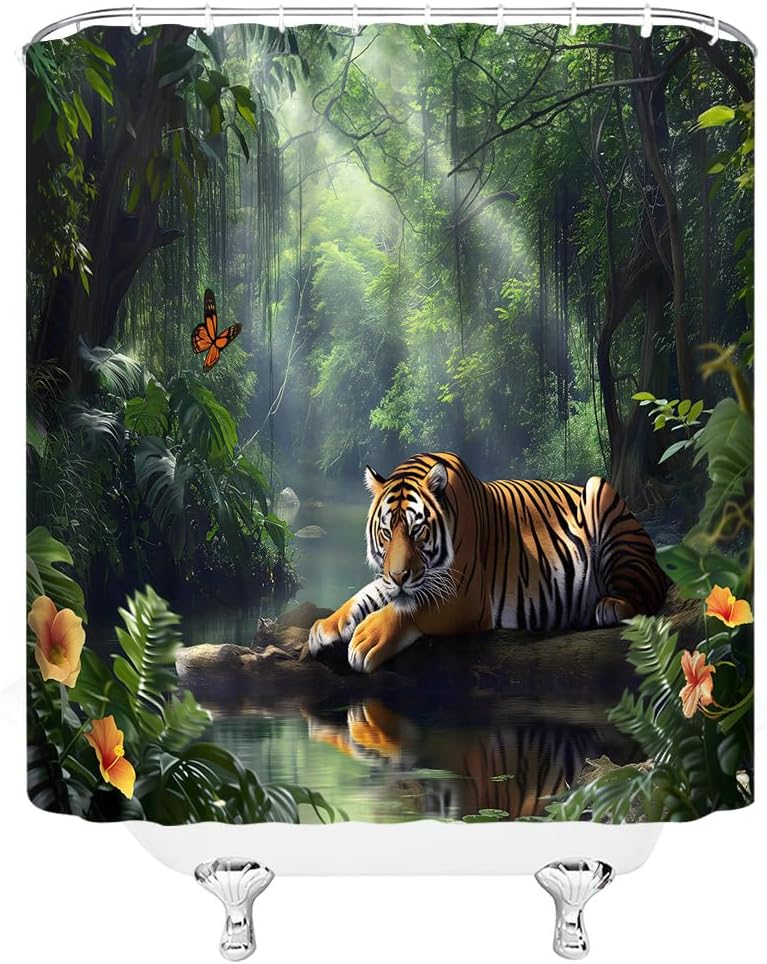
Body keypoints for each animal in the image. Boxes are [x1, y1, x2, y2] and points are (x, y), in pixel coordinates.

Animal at [308, 451, 669, 673]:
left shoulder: (465, 598)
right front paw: (325, 627)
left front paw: (367, 639)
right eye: (386, 533)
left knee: (647, 590)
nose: (398, 576)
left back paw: (610, 605)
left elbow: (410, 608)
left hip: (602, 496)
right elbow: (365, 596)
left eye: (417, 530)